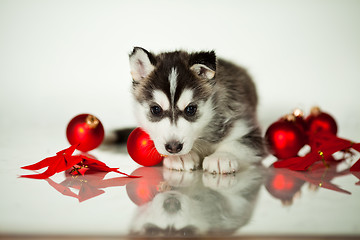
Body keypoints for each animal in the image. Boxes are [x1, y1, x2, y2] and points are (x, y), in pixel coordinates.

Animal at [128, 47, 266, 174]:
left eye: (190, 109)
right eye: (156, 110)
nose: (174, 147)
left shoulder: (248, 129)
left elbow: (238, 144)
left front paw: (221, 157)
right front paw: (182, 157)